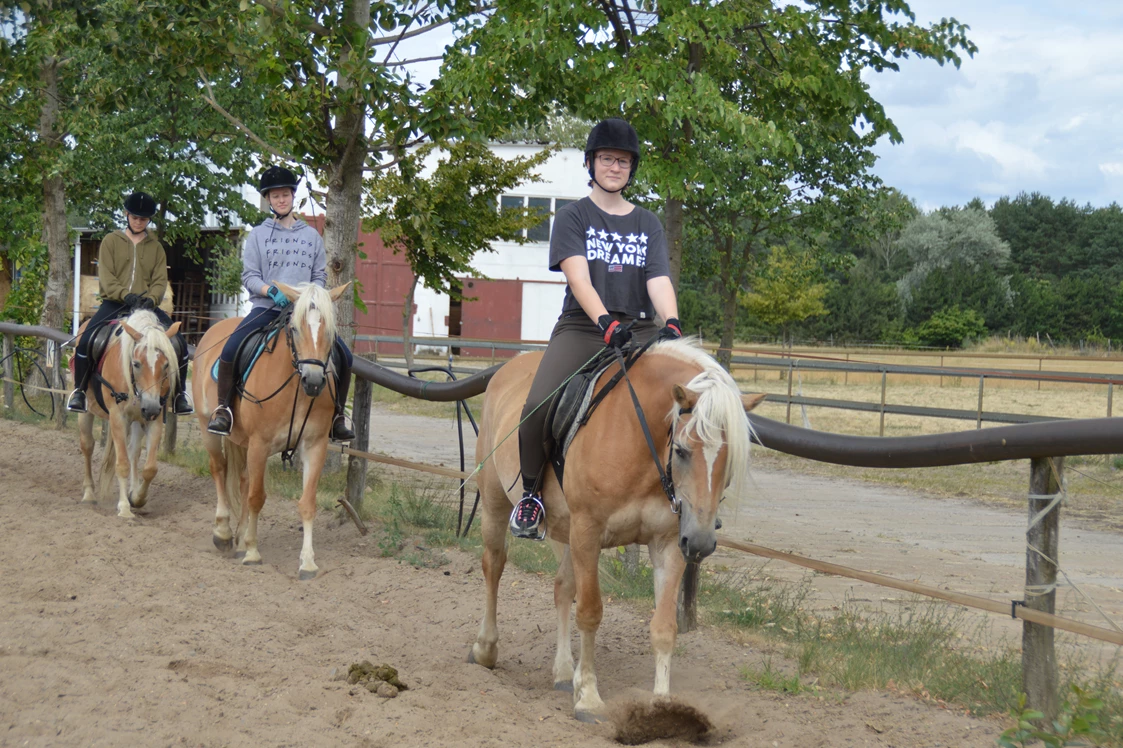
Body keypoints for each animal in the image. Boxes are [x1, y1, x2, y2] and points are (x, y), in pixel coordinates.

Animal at [78, 305, 181, 516]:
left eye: (166, 365)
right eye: (136, 363)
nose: (150, 406)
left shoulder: (153, 419)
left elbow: (150, 468)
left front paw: (137, 498)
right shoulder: (118, 417)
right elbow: (122, 463)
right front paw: (125, 508)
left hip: (138, 420)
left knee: (134, 451)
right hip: (86, 412)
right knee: (88, 445)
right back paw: (89, 494)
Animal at [193, 279, 348, 575]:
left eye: (330, 331)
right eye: (296, 328)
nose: (314, 381)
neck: (296, 388)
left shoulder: (315, 445)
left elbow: (307, 502)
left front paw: (308, 562)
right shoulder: (260, 444)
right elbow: (256, 497)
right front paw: (253, 553)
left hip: (242, 442)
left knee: (242, 480)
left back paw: (239, 537)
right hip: (208, 428)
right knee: (219, 470)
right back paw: (223, 533)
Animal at [464, 336, 763, 718]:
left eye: (731, 460)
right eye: (682, 451)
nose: (700, 543)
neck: (638, 438)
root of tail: (508, 368)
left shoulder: (668, 543)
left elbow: (664, 627)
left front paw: (660, 707)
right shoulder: (588, 531)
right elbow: (590, 612)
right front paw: (589, 699)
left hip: (568, 530)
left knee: (562, 588)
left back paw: (564, 673)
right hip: (495, 502)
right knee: (494, 564)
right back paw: (485, 650)